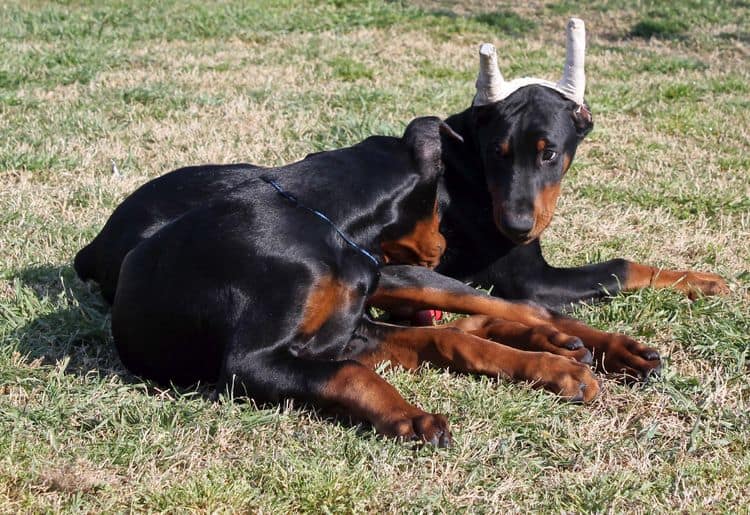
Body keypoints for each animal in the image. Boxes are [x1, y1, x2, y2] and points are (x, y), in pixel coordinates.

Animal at [78, 116, 604, 444]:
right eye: (443, 206)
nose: (443, 247)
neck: (319, 220)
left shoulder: (349, 330)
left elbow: (446, 340)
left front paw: (554, 370)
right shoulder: (255, 361)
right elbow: (367, 367)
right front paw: (411, 417)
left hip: (397, 278)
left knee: (512, 308)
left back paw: (572, 345)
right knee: (475, 321)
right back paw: (560, 348)